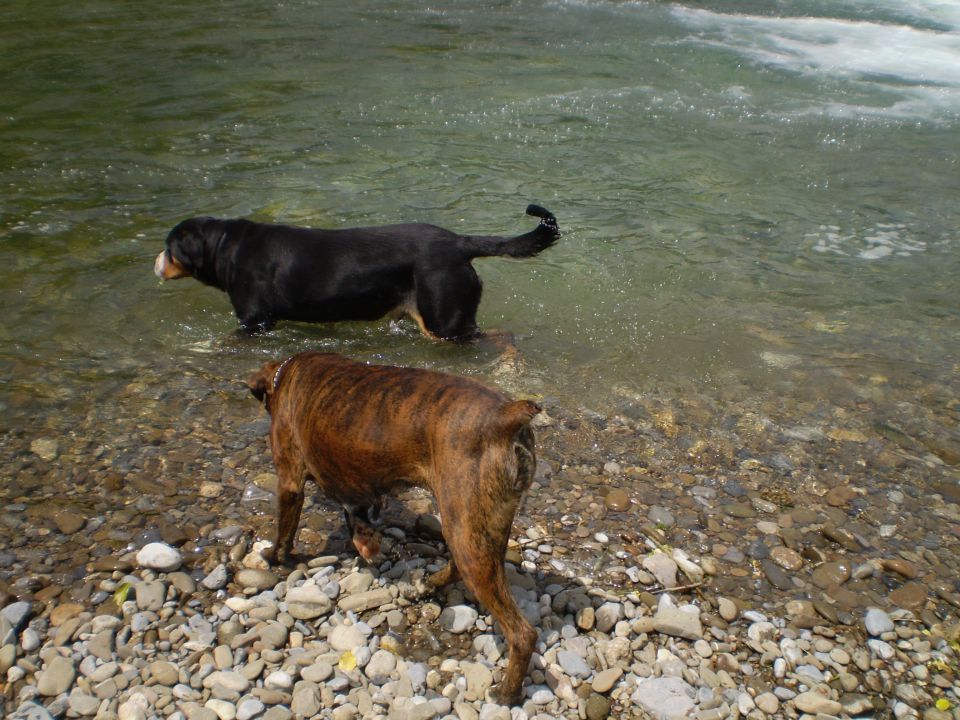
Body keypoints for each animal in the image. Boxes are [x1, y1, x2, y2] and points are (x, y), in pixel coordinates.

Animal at [154, 202, 560, 338]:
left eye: (169, 247)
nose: (155, 261)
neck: (227, 246)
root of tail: (459, 242)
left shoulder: (254, 319)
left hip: (445, 319)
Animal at [249, 352, 540, 704]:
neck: (284, 376)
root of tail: (506, 415)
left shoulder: (290, 484)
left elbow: (285, 532)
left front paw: (274, 557)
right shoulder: (356, 485)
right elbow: (356, 516)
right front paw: (366, 544)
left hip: (466, 528)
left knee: (522, 633)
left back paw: (508, 693)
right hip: (478, 525)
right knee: (459, 568)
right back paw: (427, 584)